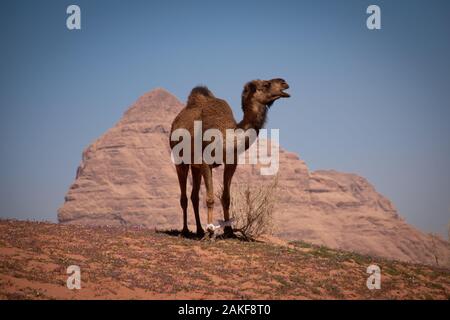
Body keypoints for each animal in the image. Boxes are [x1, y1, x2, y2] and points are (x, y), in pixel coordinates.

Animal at [170, 78, 292, 236]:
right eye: (266, 84)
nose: (284, 83)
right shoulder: (205, 162)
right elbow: (210, 198)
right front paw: (211, 231)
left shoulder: (231, 163)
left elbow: (226, 198)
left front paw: (229, 231)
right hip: (180, 160)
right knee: (184, 197)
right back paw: (185, 230)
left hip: (195, 166)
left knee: (194, 196)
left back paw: (199, 230)